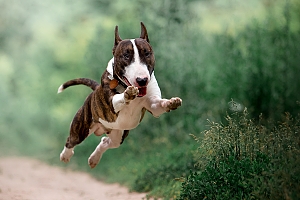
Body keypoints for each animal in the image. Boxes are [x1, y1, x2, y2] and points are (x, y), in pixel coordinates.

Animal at [57, 22, 182, 169]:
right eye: (126, 56)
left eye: (146, 53)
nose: (142, 80)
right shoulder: (111, 103)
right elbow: (118, 98)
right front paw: (128, 94)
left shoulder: (153, 104)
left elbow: (158, 104)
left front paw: (172, 102)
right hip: (82, 127)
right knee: (71, 140)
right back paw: (65, 155)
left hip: (118, 134)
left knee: (105, 141)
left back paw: (94, 159)